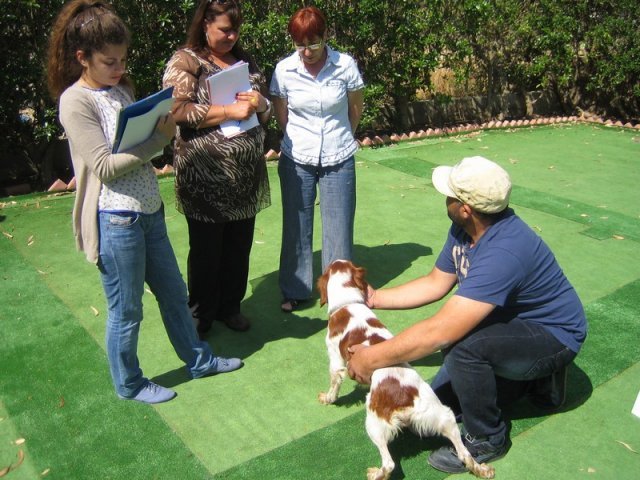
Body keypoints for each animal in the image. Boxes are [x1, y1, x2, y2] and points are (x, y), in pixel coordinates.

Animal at [316, 258, 496, 480]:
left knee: (389, 463)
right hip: (444, 415)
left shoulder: (335, 357)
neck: (348, 303)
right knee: (464, 452)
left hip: (374, 423)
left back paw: (376, 473)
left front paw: (328, 398)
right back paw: (481, 469)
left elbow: (334, 383)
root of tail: (406, 399)